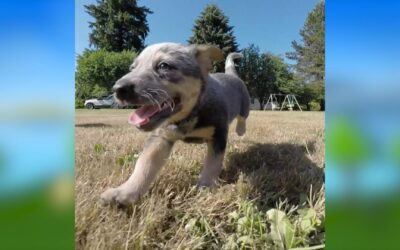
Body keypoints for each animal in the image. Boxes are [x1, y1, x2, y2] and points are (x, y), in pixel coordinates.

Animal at [101, 43, 250, 206]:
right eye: (132, 68)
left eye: (164, 65)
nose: (117, 89)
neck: (188, 115)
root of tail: (231, 75)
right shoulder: (160, 137)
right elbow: (144, 163)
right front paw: (125, 192)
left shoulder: (218, 134)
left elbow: (212, 164)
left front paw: (205, 188)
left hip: (245, 105)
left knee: (243, 118)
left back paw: (241, 130)